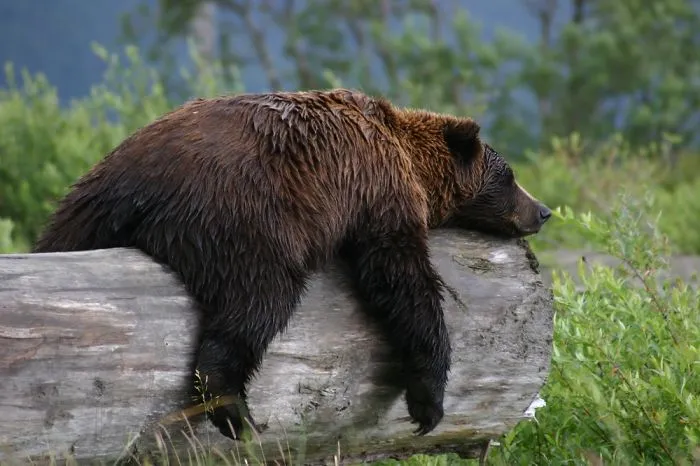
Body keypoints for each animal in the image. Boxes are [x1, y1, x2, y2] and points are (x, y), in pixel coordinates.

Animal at [33, 88, 551, 439]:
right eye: (510, 176)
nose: (543, 210)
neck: (407, 157)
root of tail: (134, 186)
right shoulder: (379, 191)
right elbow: (400, 279)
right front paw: (428, 403)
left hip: (81, 211)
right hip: (242, 216)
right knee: (259, 299)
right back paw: (236, 411)